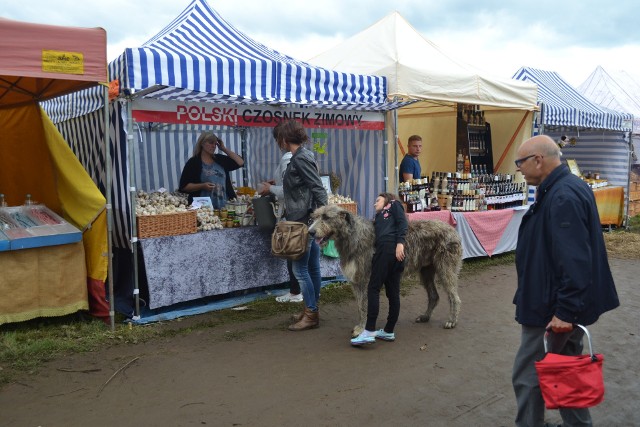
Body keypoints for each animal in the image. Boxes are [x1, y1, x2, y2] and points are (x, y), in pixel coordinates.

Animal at [308, 204, 462, 338]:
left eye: (326, 217)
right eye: (314, 217)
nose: (310, 232)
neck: (353, 237)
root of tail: (452, 230)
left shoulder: (366, 280)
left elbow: (364, 306)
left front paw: (362, 329)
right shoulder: (356, 281)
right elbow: (359, 306)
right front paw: (361, 326)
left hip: (446, 269)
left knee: (454, 297)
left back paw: (452, 321)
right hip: (426, 272)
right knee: (434, 296)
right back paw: (425, 316)